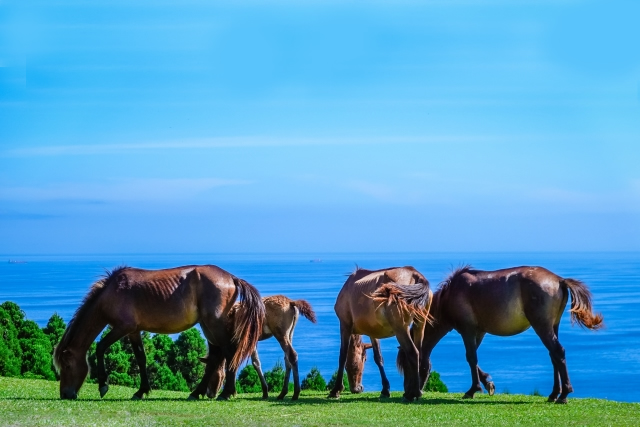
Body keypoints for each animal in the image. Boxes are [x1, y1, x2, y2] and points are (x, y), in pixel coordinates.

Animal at [52, 265, 265, 400]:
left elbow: (100, 348)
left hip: (215, 324)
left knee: (228, 352)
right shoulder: (134, 331)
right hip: (208, 326)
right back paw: (197, 393)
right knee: (215, 358)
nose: (65, 394)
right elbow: (141, 358)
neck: (112, 293)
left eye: (67, 366)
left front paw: (103, 385)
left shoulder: (122, 328)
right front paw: (141, 391)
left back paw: (226, 393)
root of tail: (231, 278)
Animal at [328, 266, 432, 401]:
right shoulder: (373, 331)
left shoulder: (345, 325)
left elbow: (342, 356)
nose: (357, 388)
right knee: (419, 352)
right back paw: (413, 390)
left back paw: (413, 394)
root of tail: (415, 274)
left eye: (362, 360)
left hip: (400, 328)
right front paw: (385, 390)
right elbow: (378, 358)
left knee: (413, 353)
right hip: (420, 324)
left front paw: (335, 390)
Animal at [420, 265, 604, 404]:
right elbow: (473, 358)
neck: (451, 294)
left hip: (542, 326)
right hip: (553, 326)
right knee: (554, 356)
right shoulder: (479, 332)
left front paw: (473, 390)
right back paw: (554, 394)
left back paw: (564, 394)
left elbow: (471, 358)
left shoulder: (468, 330)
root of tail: (559, 280)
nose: (417, 392)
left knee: (558, 352)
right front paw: (487, 383)